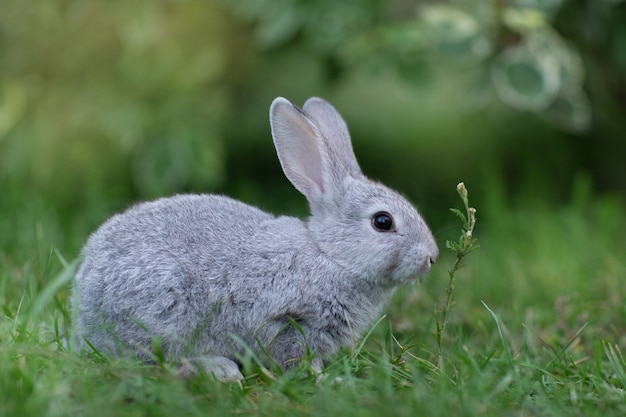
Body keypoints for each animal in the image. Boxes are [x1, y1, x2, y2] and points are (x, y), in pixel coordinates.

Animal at [73, 97, 436, 380]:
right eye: (383, 222)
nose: (432, 257)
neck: (330, 256)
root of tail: (83, 305)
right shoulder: (284, 320)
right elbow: (290, 353)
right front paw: (318, 377)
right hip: (162, 308)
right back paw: (218, 369)